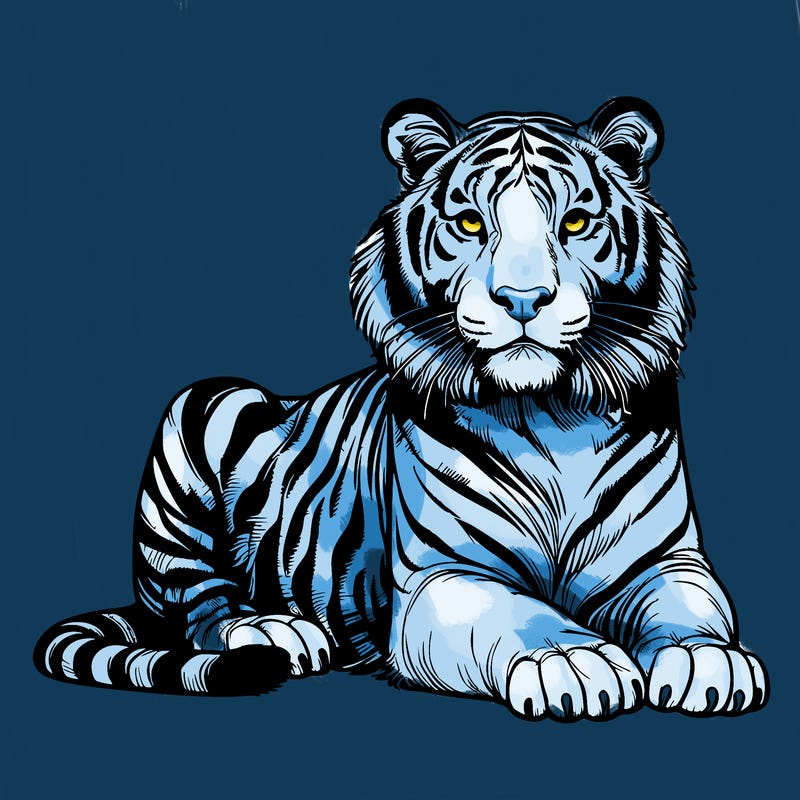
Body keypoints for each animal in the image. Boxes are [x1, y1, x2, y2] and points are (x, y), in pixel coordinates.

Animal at [35, 97, 768, 720]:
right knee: (199, 602)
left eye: (576, 223)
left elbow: (691, 610)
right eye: (470, 222)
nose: (523, 299)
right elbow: (516, 614)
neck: (553, 416)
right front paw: (574, 659)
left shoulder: (669, 560)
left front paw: (710, 662)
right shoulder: (443, 579)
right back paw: (275, 630)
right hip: (205, 403)